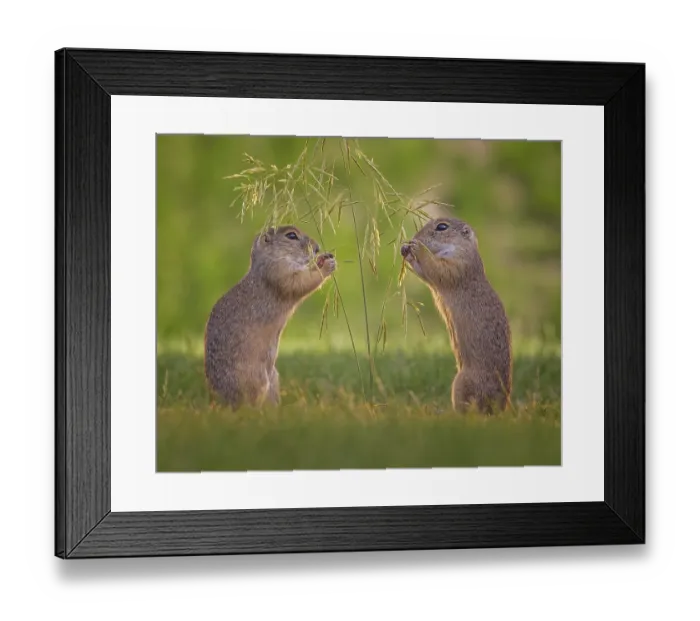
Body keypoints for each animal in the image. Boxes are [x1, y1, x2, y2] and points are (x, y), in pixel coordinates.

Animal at [204, 225, 336, 410]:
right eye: (291, 235)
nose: (317, 248)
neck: (268, 258)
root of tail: (219, 401)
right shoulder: (278, 271)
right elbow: (300, 281)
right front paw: (327, 265)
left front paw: (323, 258)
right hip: (253, 380)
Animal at [401, 217, 512, 413]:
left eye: (442, 227)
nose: (414, 237)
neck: (462, 247)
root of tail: (499, 407)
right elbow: (426, 273)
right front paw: (405, 250)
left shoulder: (459, 263)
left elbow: (438, 269)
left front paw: (417, 247)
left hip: (461, 383)